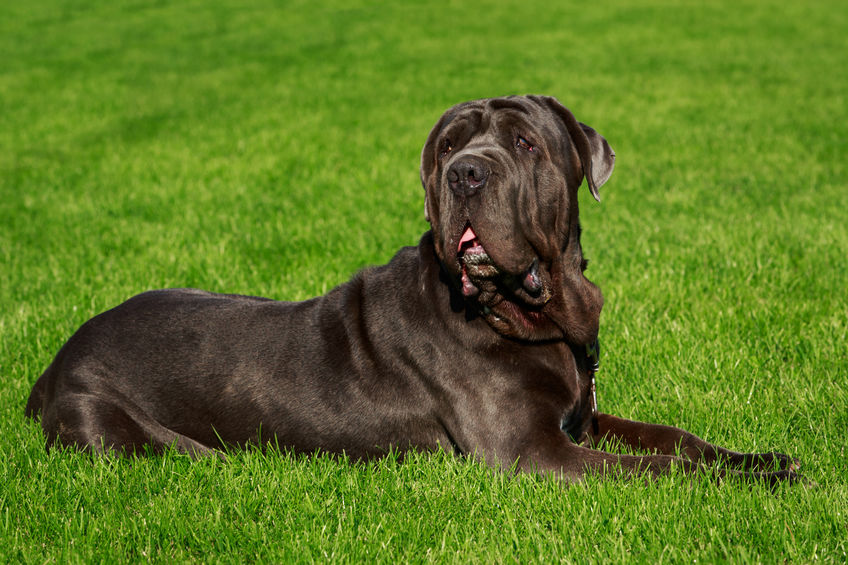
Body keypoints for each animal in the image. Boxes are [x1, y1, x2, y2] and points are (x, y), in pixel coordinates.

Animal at [23, 94, 800, 482]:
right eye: (449, 146)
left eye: (525, 143)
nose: (466, 172)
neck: (531, 313)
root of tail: (53, 364)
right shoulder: (532, 451)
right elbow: (661, 469)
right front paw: (759, 481)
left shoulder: (581, 418)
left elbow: (675, 439)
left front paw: (760, 458)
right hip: (117, 430)